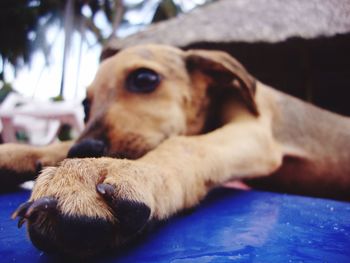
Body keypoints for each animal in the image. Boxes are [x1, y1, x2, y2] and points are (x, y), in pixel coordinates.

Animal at [1, 44, 348, 258]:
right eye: (85, 105)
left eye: (144, 78)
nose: (84, 148)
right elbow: (59, 145)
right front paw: (14, 154)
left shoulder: (254, 132)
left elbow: (185, 145)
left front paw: (109, 175)